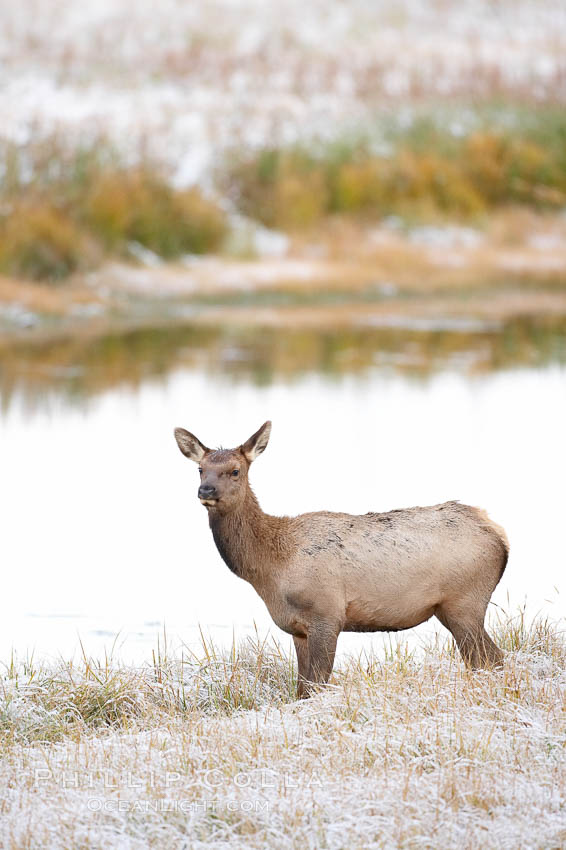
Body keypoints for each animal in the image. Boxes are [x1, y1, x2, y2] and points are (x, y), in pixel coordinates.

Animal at [173, 420, 510, 696]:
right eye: (200, 469)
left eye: (235, 470)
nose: (206, 490)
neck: (270, 569)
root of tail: (499, 534)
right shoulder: (298, 628)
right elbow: (302, 689)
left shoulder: (327, 613)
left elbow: (318, 685)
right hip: (451, 608)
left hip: (465, 601)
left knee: (493, 659)